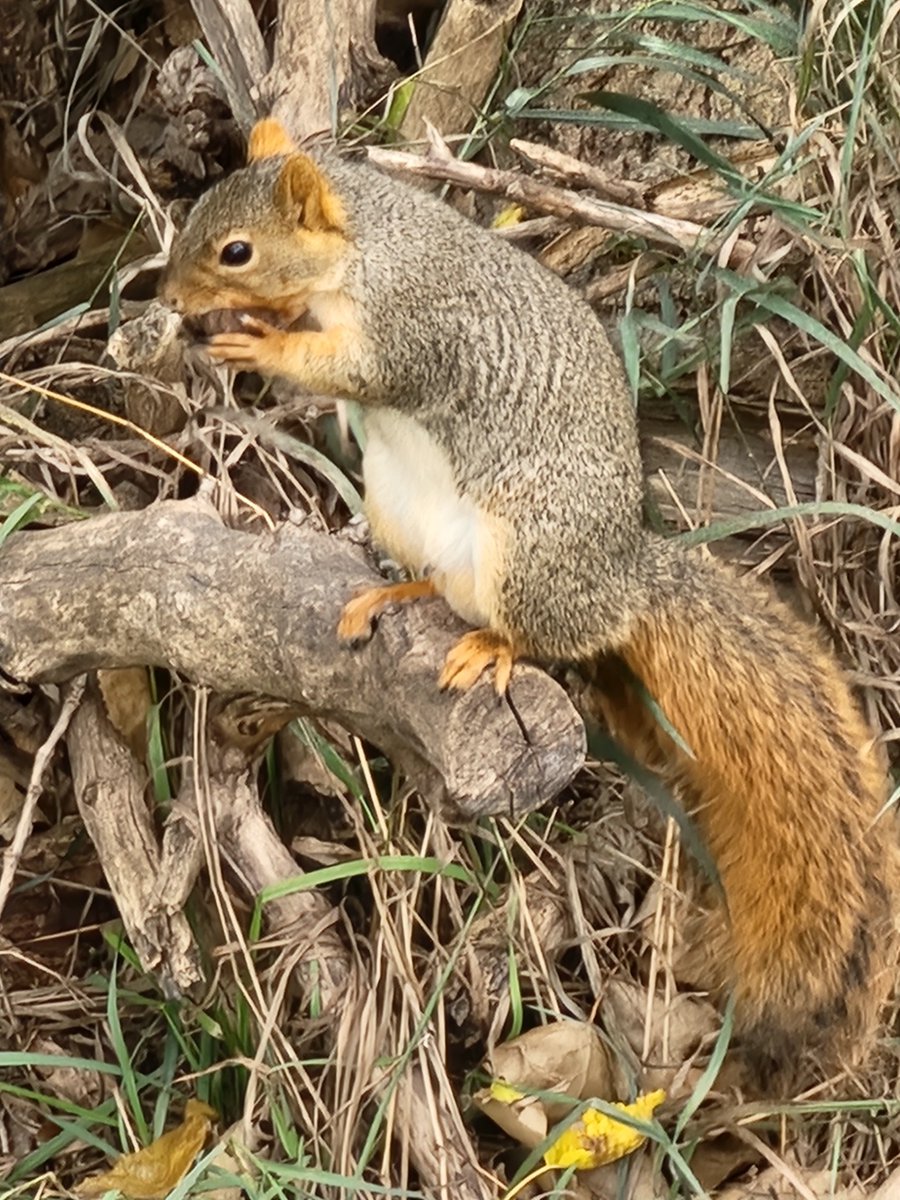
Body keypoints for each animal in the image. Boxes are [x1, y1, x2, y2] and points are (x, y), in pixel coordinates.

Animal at [160, 117, 896, 1090]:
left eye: (236, 250)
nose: (168, 296)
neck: (365, 246)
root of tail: (622, 578)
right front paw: (255, 327)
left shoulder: (413, 328)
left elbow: (356, 370)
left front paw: (257, 343)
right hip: (396, 506)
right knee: (438, 581)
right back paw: (392, 591)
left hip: (529, 550)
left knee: (546, 639)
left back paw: (496, 649)